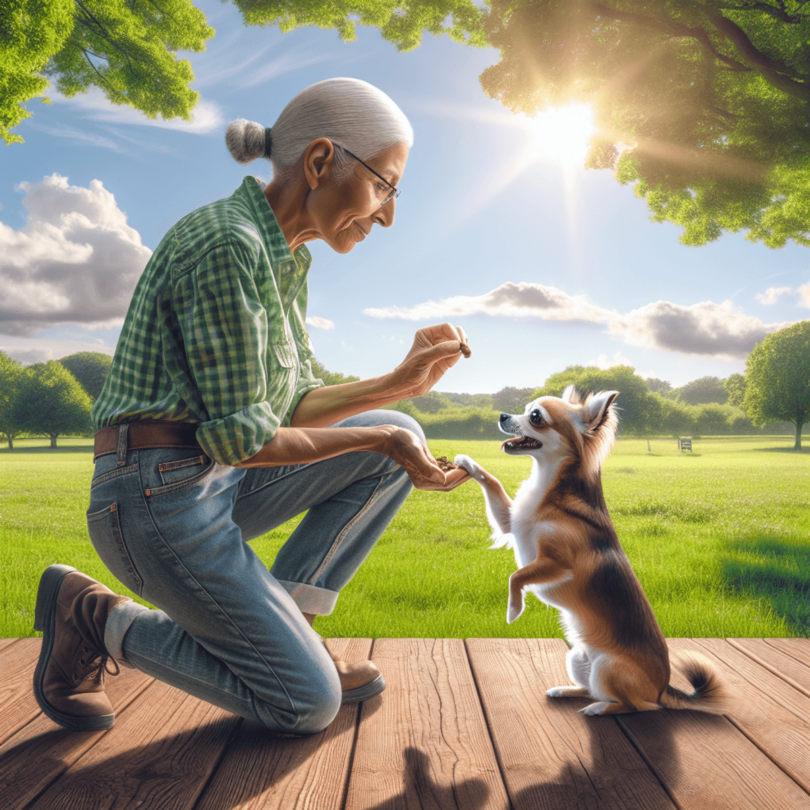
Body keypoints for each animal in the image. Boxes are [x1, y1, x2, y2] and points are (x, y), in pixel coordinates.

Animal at [454, 386, 724, 712]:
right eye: (525, 408)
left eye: (536, 417)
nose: (503, 415)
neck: (547, 486)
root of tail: (663, 688)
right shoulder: (510, 521)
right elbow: (492, 482)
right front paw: (466, 462)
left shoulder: (558, 563)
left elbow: (516, 577)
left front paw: (513, 610)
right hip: (577, 657)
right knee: (593, 690)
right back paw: (566, 691)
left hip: (609, 667)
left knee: (634, 705)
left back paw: (599, 709)